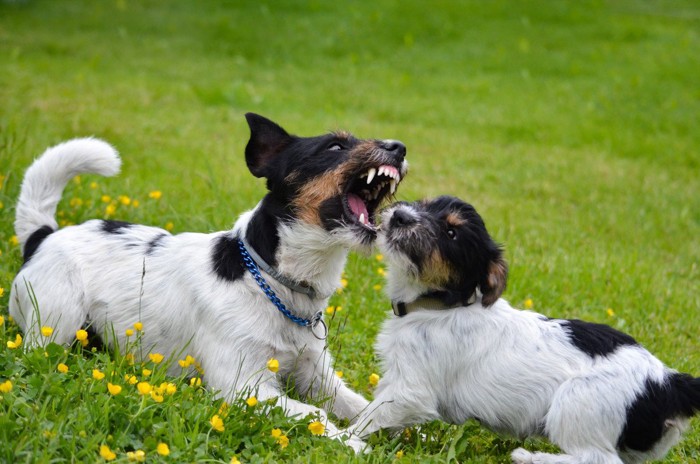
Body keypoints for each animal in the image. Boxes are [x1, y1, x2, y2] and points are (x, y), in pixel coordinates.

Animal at [8, 113, 408, 450]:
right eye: (334, 146)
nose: (400, 147)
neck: (269, 280)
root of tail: (43, 237)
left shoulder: (316, 374)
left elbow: (361, 404)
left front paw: (406, 430)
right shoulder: (243, 385)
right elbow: (315, 413)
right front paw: (349, 442)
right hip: (56, 325)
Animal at [350, 197, 700, 464]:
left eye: (450, 232)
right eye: (424, 204)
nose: (399, 215)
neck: (438, 305)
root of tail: (669, 381)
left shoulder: (410, 391)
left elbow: (370, 417)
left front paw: (343, 439)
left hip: (574, 402)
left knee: (597, 459)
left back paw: (529, 457)